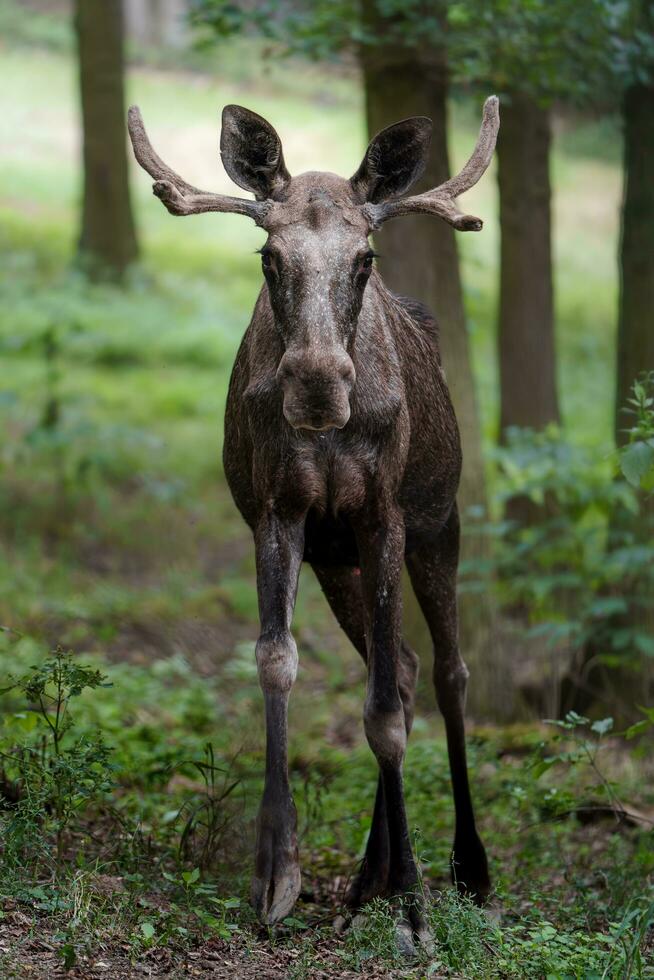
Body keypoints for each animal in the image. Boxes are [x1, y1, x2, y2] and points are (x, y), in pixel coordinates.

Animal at [128, 97, 500, 940]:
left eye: (364, 259)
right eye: (271, 259)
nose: (318, 385)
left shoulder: (385, 516)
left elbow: (387, 715)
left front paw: (417, 908)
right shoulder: (281, 512)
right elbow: (278, 661)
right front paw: (277, 873)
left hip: (439, 522)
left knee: (449, 672)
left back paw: (468, 867)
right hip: (339, 563)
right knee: (402, 666)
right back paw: (370, 875)